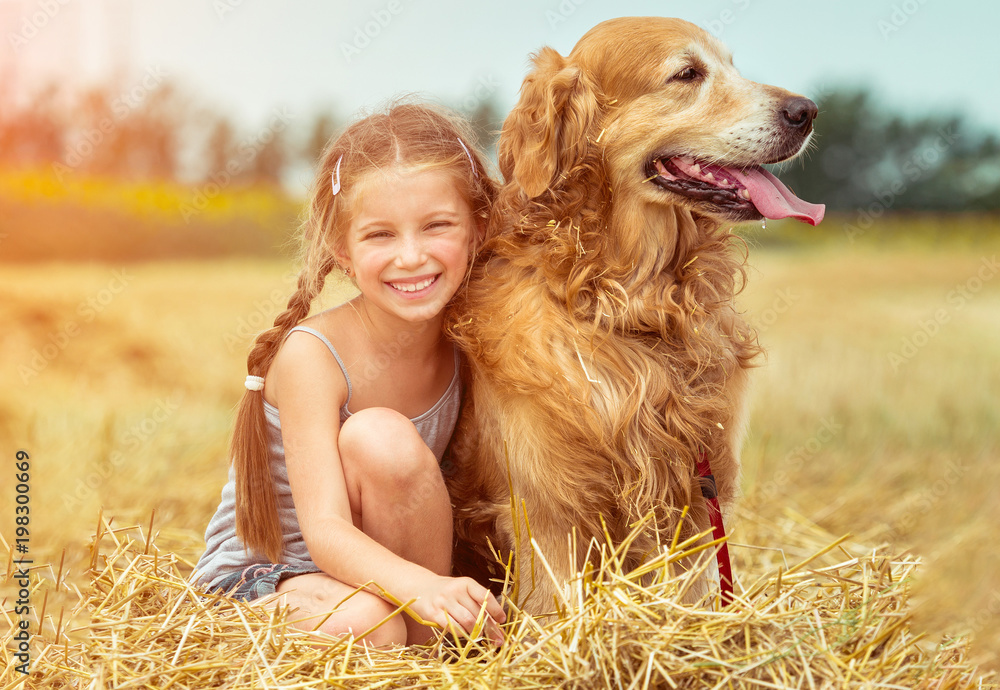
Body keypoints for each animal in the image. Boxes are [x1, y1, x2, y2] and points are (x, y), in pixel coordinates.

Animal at [450, 13, 824, 612]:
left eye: (733, 65)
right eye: (687, 74)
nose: (807, 110)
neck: (637, 309)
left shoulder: (698, 495)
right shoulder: (546, 511)